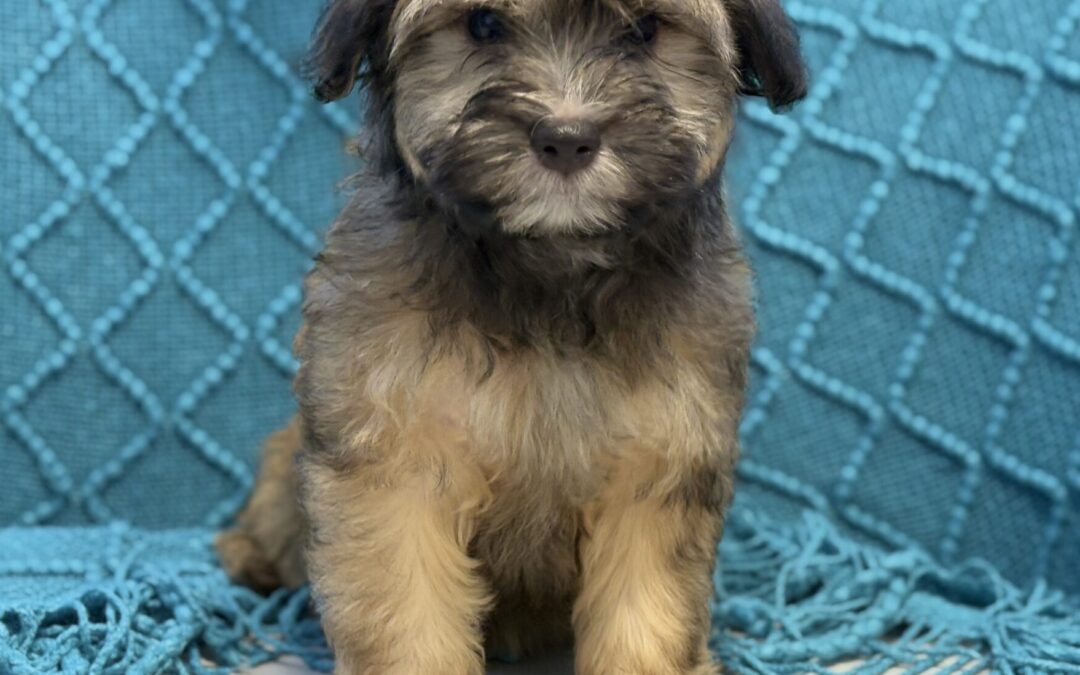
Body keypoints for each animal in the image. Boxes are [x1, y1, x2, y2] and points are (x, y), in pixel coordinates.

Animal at [217, 1, 803, 669]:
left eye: (645, 31)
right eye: (482, 26)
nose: (567, 139)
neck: (546, 274)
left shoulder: (663, 455)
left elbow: (647, 607)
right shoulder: (393, 449)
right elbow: (404, 605)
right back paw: (249, 557)